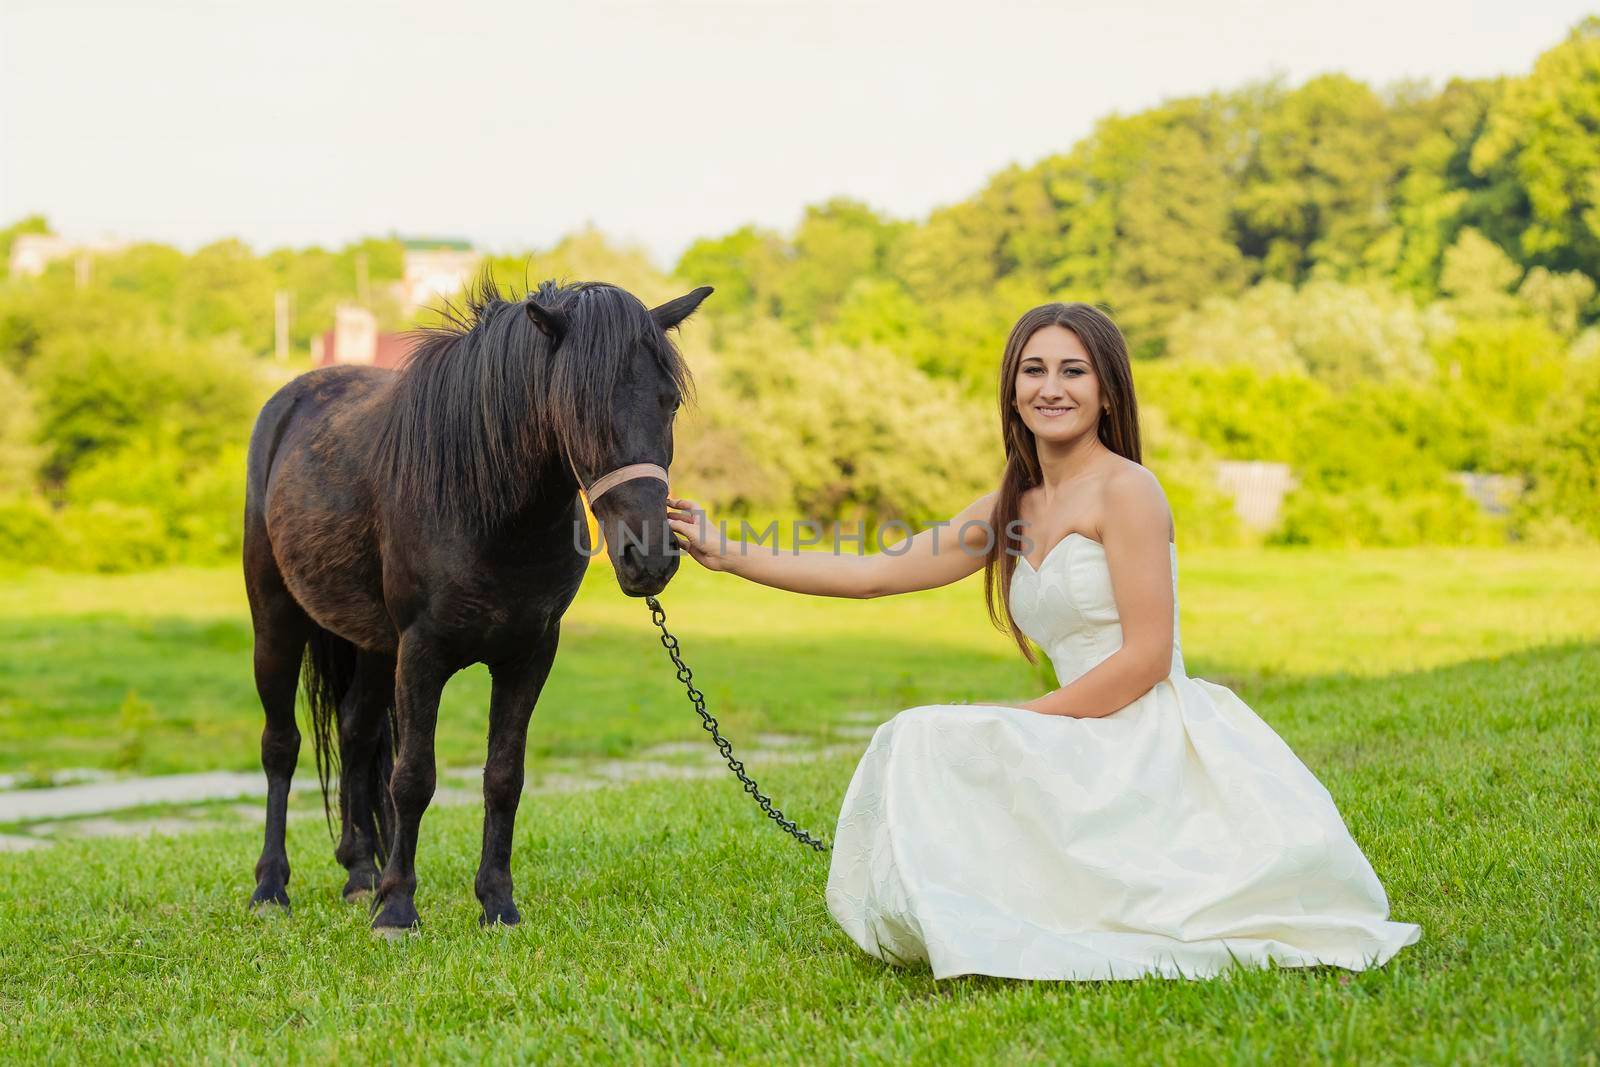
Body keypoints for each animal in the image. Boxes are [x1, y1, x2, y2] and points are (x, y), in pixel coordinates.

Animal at [241, 278, 707, 934]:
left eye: (668, 402)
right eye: (577, 407)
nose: (650, 558)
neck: (486, 510)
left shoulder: (529, 655)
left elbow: (503, 776)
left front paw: (497, 904)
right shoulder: (422, 653)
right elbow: (413, 777)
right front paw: (398, 910)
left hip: (372, 646)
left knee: (357, 733)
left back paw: (359, 875)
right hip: (277, 624)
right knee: (281, 746)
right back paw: (271, 887)